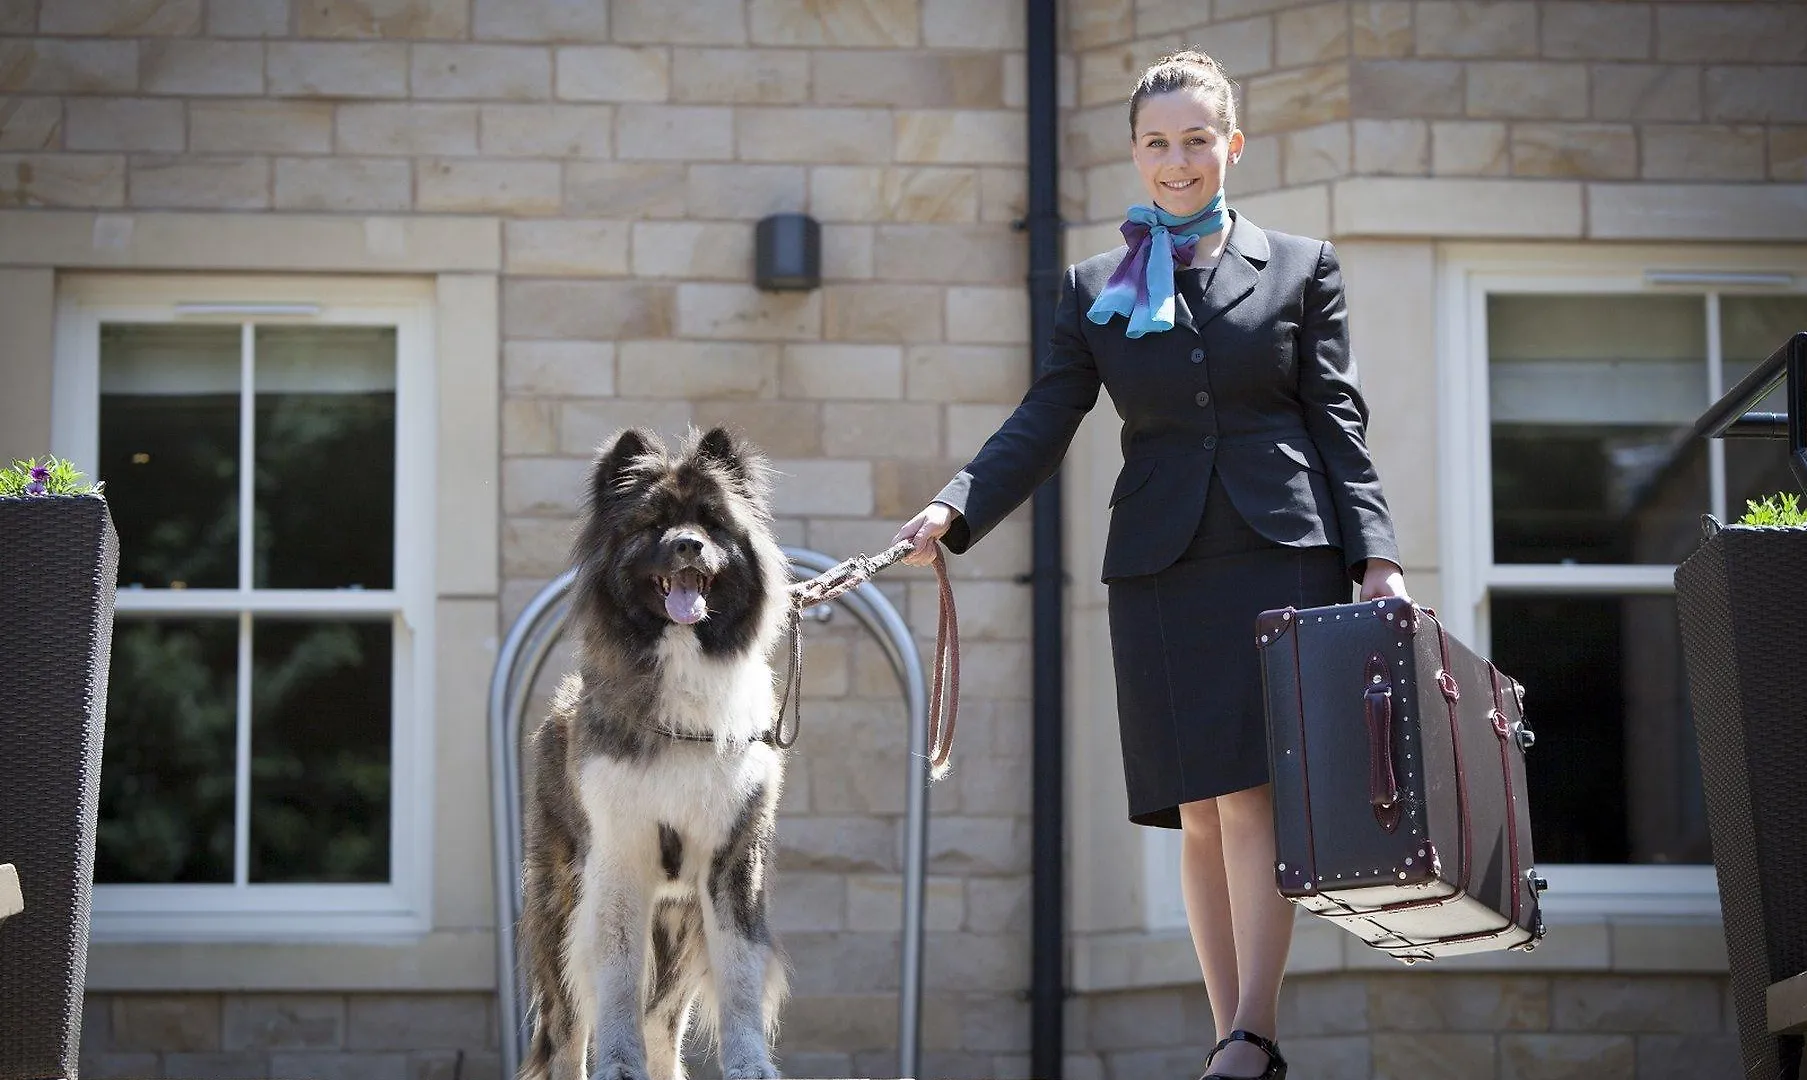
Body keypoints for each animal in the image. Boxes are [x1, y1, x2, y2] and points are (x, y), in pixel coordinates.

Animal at [513, 428, 787, 1076]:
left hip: (676, 922)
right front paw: (618, 1064)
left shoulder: (732, 863)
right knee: (567, 1026)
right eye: (655, 523)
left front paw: (750, 1064)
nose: (688, 545)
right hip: (560, 903)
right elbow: (615, 980)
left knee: (663, 1023)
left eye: (711, 522)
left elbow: (740, 974)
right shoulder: (619, 859)